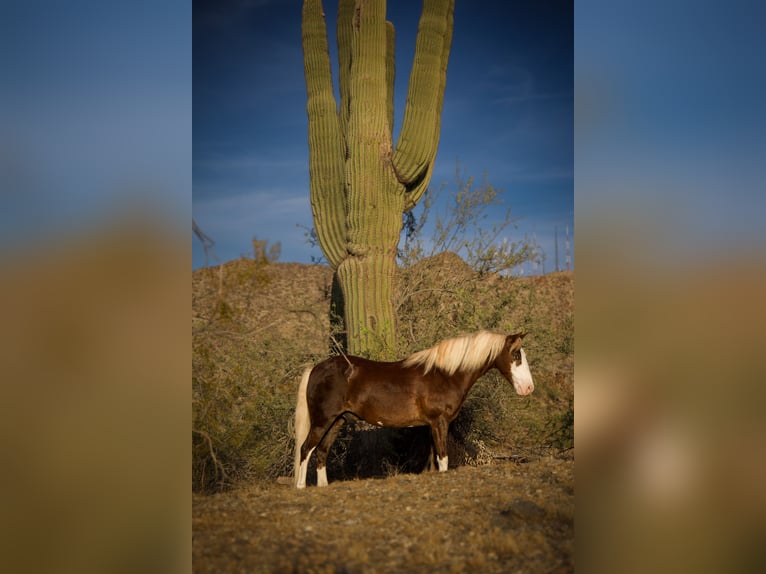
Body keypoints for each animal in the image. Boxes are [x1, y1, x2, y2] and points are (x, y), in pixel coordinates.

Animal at [293, 330, 534, 488]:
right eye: (516, 355)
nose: (528, 388)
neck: (445, 374)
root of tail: (316, 369)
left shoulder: (432, 425)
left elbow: (434, 461)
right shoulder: (439, 422)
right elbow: (443, 458)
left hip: (337, 421)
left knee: (321, 452)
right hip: (322, 421)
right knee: (305, 450)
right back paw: (301, 487)